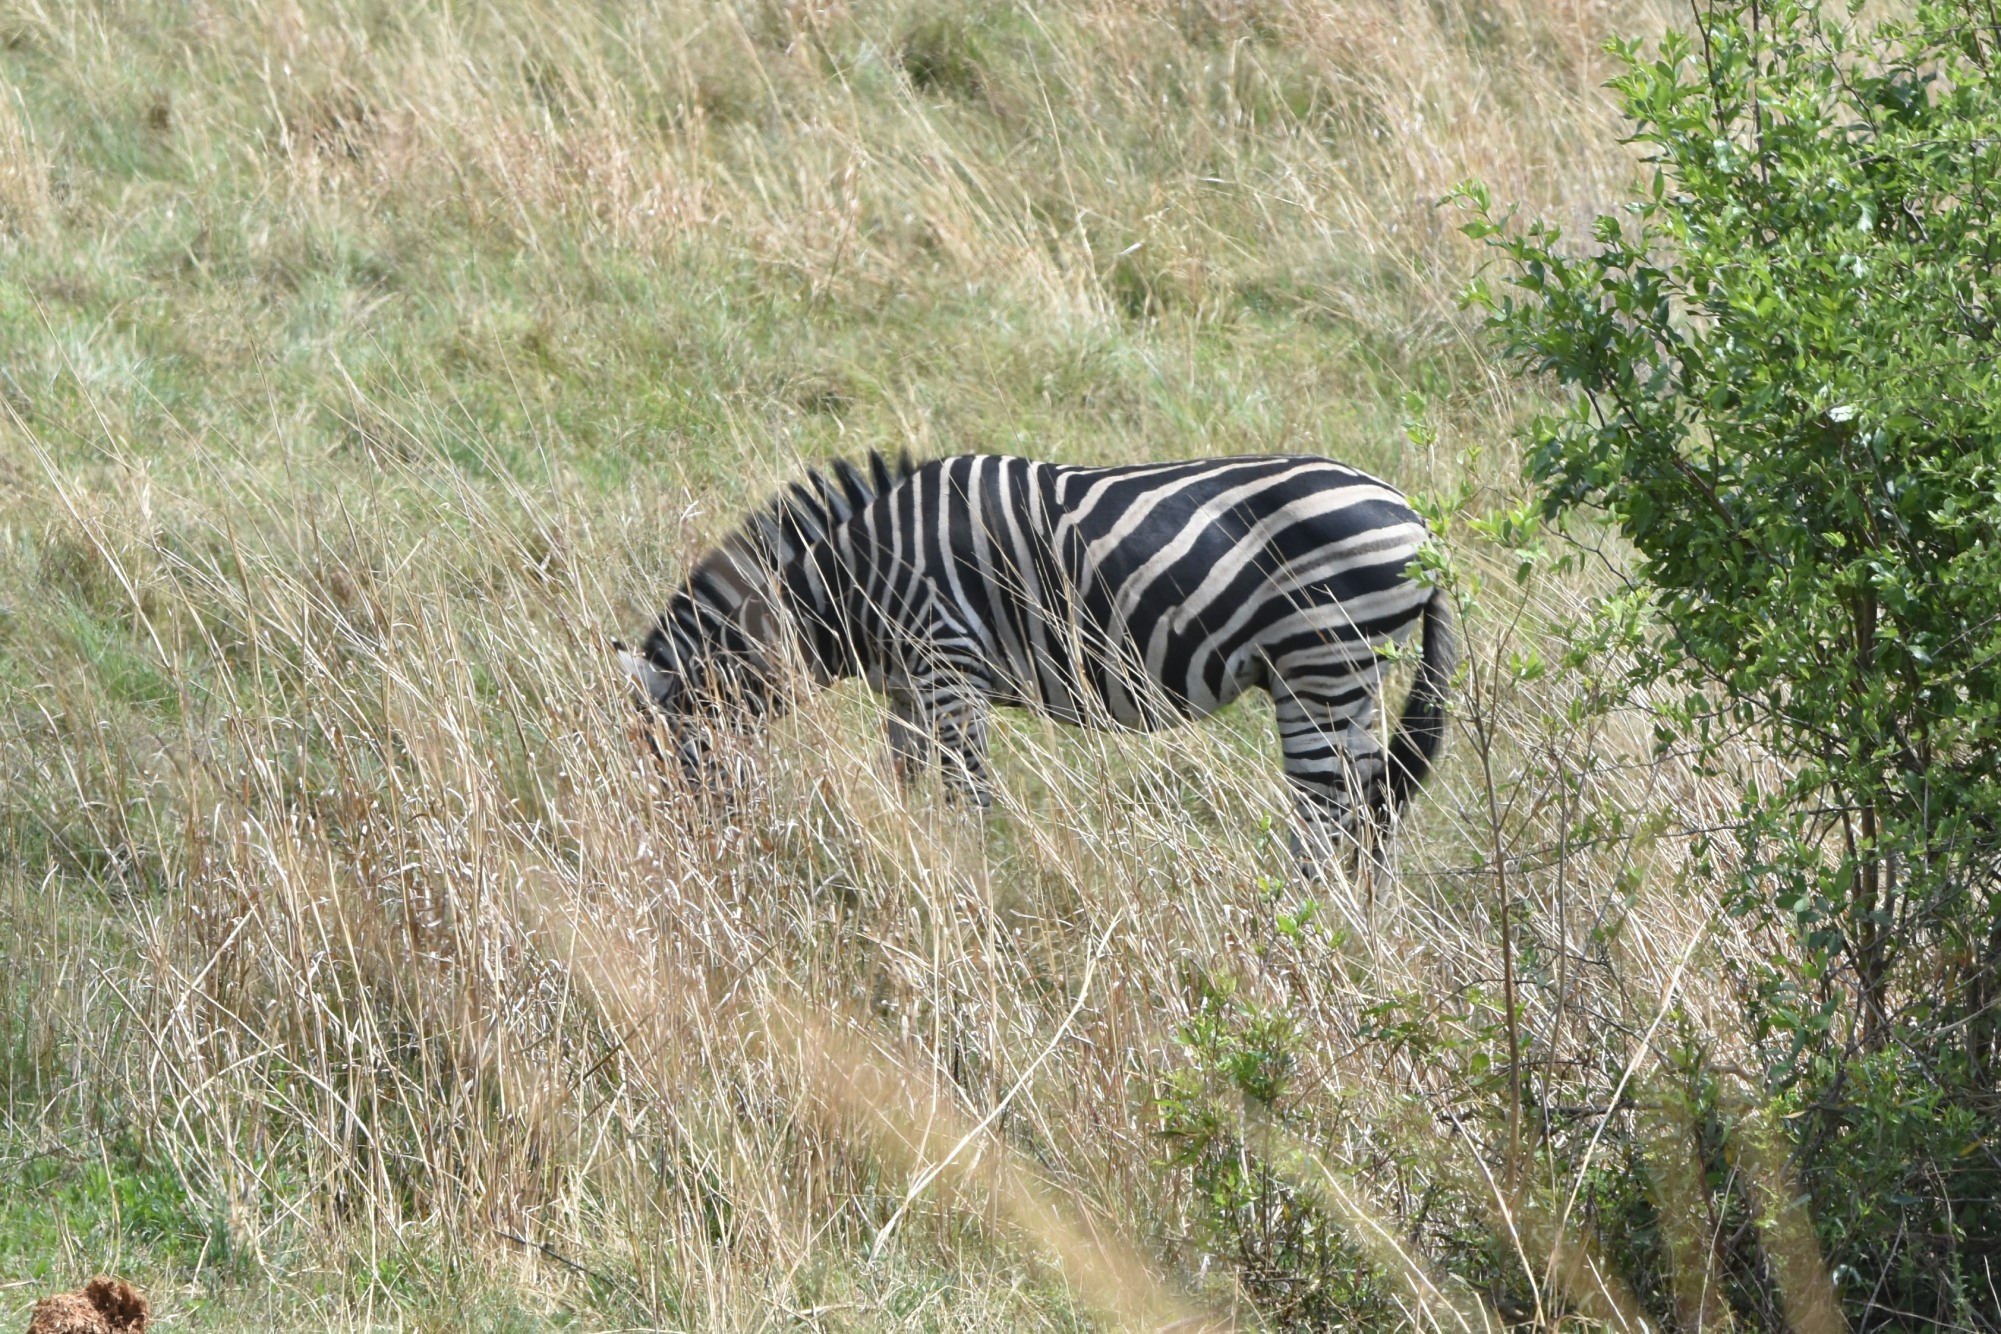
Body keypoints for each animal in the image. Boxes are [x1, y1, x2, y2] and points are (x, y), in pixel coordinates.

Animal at [619, 452, 1455, 872]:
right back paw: (1353, 940)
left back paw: (1296, 933)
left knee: (1327, 815)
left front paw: (978, 894)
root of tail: (1416, 521)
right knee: (1372, 808)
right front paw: (909, 868)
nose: (684, 862)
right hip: (1352, 679)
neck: (850, 583)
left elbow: (970, 797)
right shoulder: (909, 688)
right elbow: (908, 786)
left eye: (671, 758)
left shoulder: (947, 664)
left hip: (1320, 664)